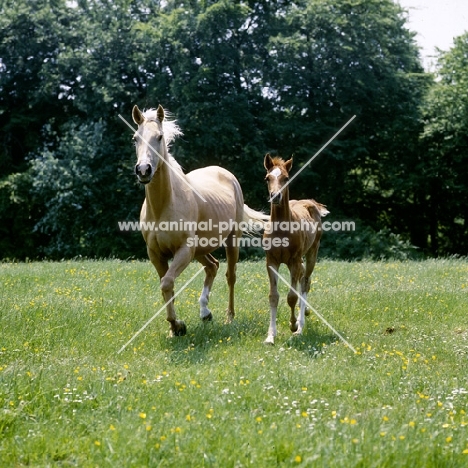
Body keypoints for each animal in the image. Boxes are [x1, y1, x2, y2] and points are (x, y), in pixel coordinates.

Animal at [132, 104, 266, 334]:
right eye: (135, 138)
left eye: (159, 137)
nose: (143, 170)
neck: (163, 206)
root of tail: (225, 172)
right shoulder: (156, 254)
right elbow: (166, 287)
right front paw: (174, 329)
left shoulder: (184, 249)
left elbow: (167, 283)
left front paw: (178, 326)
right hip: (201, 249)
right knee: (212, 266)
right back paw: (205, 312)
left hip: (231, 240)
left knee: (230, 275)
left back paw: (229, 318)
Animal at [264, 153, 330, 344]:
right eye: (267, 178)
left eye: (286, 178)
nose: (275, 196)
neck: (281, 229)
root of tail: (311, 203)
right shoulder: (271, 261)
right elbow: (273, 296)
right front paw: (270, 336)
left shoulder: (294, 261)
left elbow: (291, 297)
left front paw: (293, 325)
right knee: (303, 281)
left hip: (311, 254)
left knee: (305, 282)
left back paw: (300, 325)